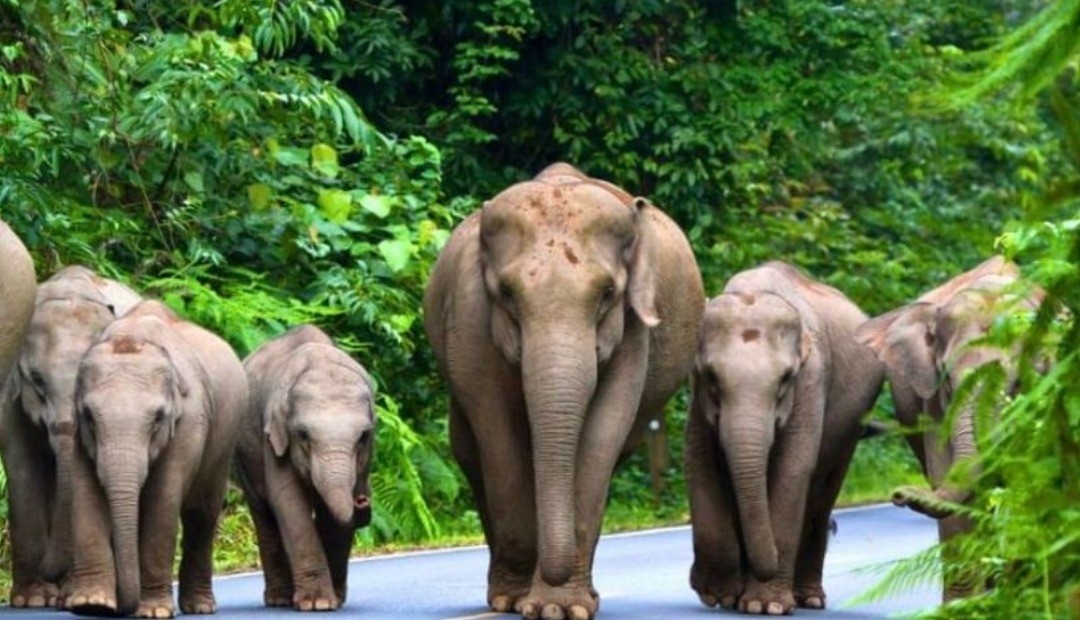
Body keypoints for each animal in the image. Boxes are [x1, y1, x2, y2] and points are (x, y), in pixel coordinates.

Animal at [65, 299, 247, 617]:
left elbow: (163, 502)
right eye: (89, 416)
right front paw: (92, 604)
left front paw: (153, 612)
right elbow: (86, 495)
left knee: (202, 515)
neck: (131, 335)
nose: (120, 608)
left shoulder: (189, 423)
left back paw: (200, 606)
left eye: (158, 418)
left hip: (224, 444)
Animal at [234, 324, 375, 611]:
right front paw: (317, 604)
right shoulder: (272, 437)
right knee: (264, 515)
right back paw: (279, 600)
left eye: (363, 436)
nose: (363, 501)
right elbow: (289, 503)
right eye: (303, 435)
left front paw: (332, 601)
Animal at [424, 162, 705, 620]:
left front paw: (561, 608)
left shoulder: (633, 332)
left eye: (607, 293)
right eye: (507, 294)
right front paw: (516, 601)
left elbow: (603, 435)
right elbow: (497, 434)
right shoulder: (469, 318)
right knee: (469, 450)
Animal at [685, 261, 884, 615]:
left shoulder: (811, 383)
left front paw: (765, 606)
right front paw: (719, 595)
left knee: (821, 494)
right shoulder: (697, 397)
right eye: (712, 377)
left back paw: (809, 599)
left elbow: (793, 471)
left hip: (850, 427)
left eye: (785, 379)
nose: (693, 579)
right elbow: (700, 464)